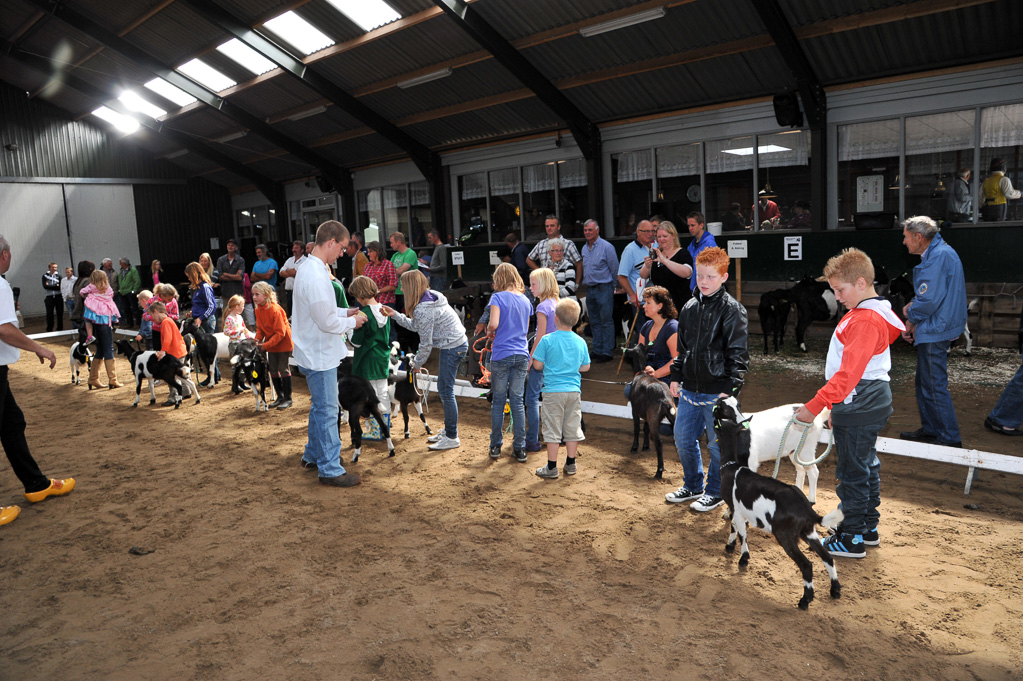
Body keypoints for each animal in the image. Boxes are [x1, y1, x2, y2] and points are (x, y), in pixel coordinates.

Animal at [712, 392, 838, 609]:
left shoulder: (751, 463)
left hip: (806, 448)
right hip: (794, 451)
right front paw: (727, 516)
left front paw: (736, 547)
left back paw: (812, 498)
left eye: (739, 405)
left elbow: (740, 522)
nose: (743, 421)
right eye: (725, 408)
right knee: (801, 470)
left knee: (813, 470)